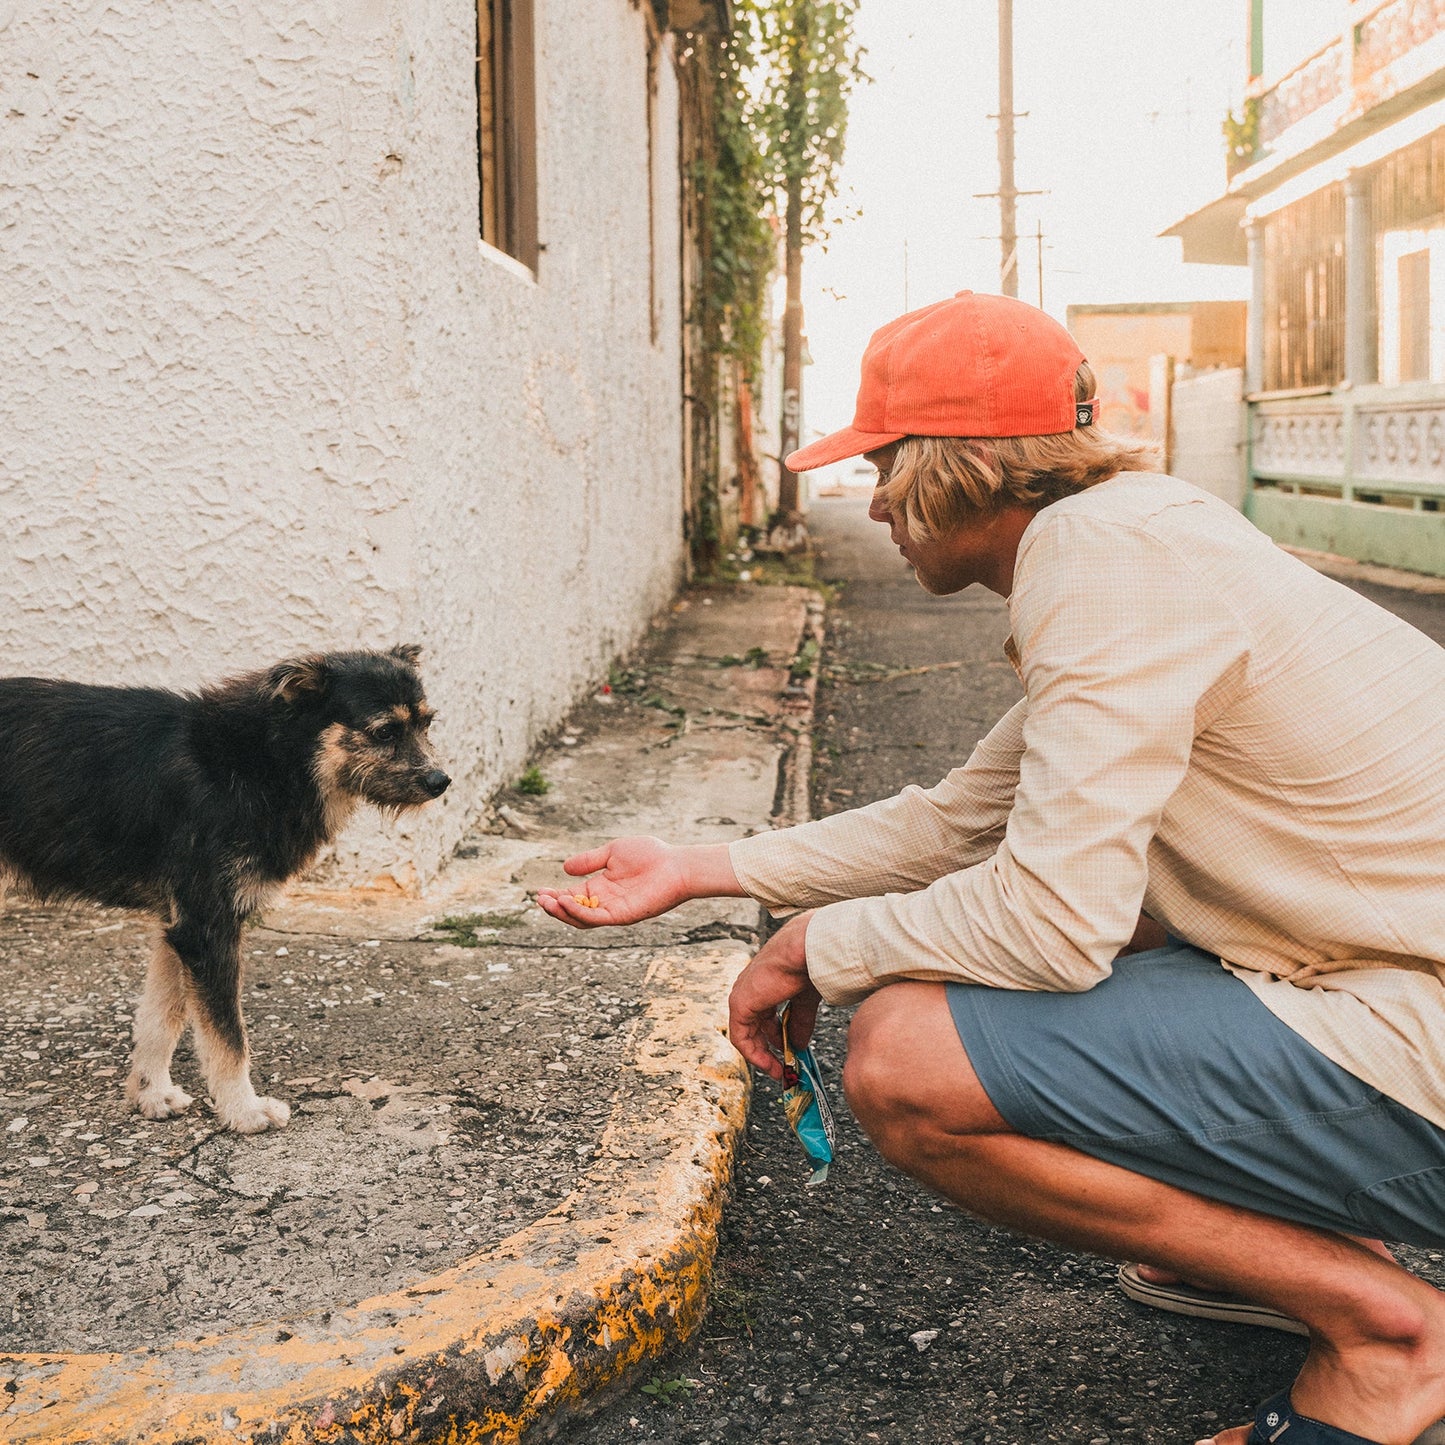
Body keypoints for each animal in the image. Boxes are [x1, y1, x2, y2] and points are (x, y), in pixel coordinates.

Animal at [0, 650, 447, 1132]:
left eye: (426, 723)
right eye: (384, 731)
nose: (442, 782)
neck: (264, 758)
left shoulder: (177, 928)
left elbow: (161, 1019)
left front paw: (150, 1094)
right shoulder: (206, 926)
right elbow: (228, 1036)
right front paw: (243, 1109)